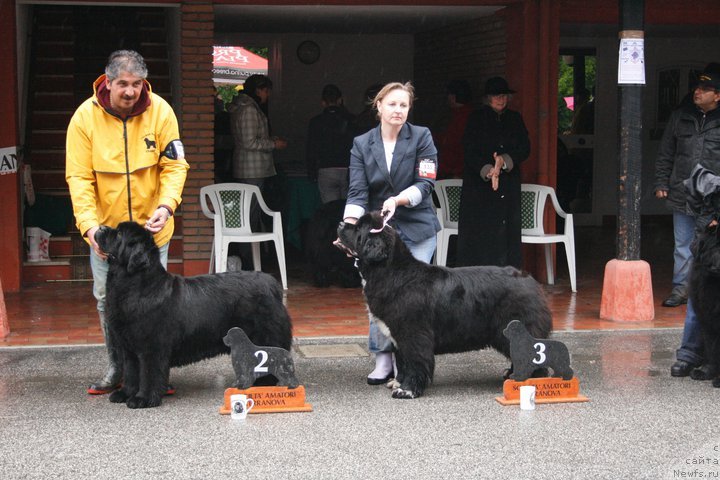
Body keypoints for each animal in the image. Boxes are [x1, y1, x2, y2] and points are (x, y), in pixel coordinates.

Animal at [95, 221, 292, 408]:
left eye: (119, 233)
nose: (101, 227)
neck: (136, 285)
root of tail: (272, 283)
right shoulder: (128, 347)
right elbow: (131, 373)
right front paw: (125, 394)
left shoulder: (151, 347)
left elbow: (147, 374)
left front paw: (142, 399)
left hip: (265, 336)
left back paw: (265, 384)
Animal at [336, 213, 552, 398]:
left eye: (359, 228)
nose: (340, 223)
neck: (393, 273)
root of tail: (530, 281)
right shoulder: (398, 335)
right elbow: (403, 361)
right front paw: (398, 382)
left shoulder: (413, 333)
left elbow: (414, 361)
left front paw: (407, 390)